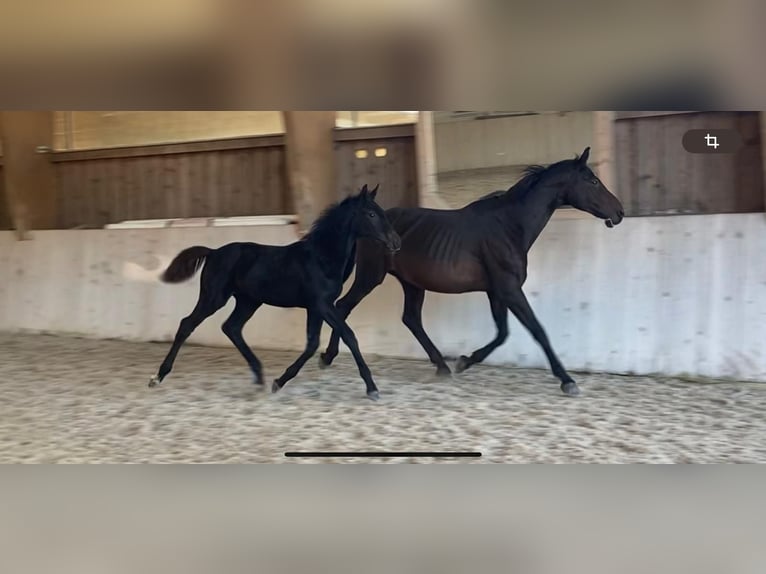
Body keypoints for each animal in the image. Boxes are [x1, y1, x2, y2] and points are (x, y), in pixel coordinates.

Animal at [148, 184, 401, 401]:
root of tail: (213, 252)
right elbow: (349, 336)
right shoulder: (322, 304)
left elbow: (312, 344)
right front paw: (372, 388)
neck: (321, 257)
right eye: (371, 214)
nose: (396, 242)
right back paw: (157, 377)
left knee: (231, 327)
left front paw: (279, 381)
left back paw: (259, 376)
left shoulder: (316, 307)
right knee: (187, 324)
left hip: (248, 301)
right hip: (214, 297)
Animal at [318, 147, 624, 397]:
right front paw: (567, 380)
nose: (619, 212)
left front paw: (465, 361)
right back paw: (327, 357)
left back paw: (442, 366)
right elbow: (537, 330)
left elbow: (502, 333)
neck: (509, 226)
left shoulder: (496, 292)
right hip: (370, 277)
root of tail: (361, 230)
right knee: (343, 307)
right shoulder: (509, 289)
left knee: (411, 319)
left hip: (412, 283)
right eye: (593, 181)